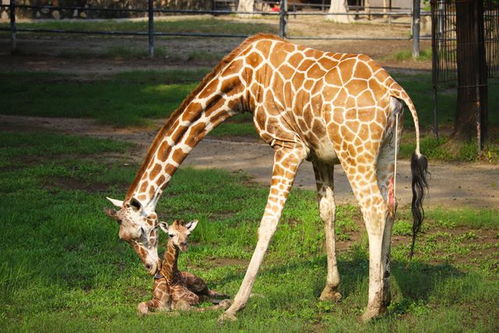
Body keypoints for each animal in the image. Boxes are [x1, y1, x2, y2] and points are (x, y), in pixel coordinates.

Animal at [104, 33, 430, 320]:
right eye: (123, 237)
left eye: (140, 232)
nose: (151, 268)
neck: (241, 83)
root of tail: (394, 91)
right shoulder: (319, 154)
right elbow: (328, 211)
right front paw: (330, 290)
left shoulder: (288, 146)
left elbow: (268, 224)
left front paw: (234, 308)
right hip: (386, 150)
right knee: (391, 206)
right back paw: (386, 296)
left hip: (356, 152)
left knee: (373, 209)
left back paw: (372, 309)